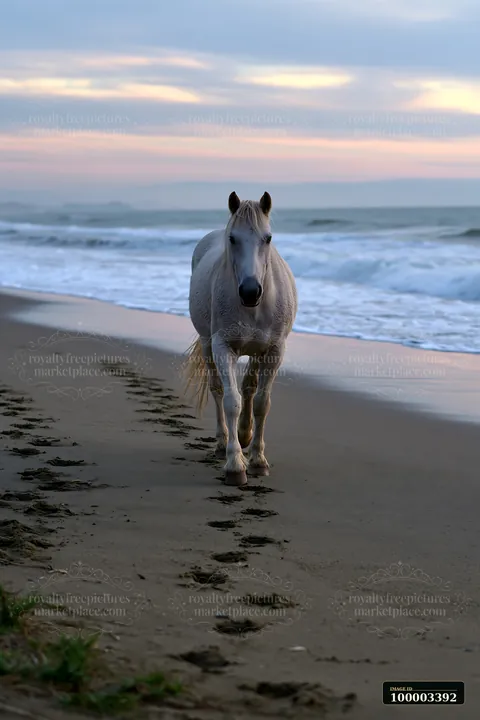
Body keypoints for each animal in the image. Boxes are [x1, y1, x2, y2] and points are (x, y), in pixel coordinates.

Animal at [185, 191, 297, 486]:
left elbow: (261, 402)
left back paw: (245, 435)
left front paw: (258, 459)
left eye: (267, 238)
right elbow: (231, 401)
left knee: (250, 388)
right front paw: (235, 464)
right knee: (218, 389)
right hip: (207, 345)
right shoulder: (223, 347)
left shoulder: (274, 350)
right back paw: (223, 442)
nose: (250, 291)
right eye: (233, 238)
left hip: (257, 351)